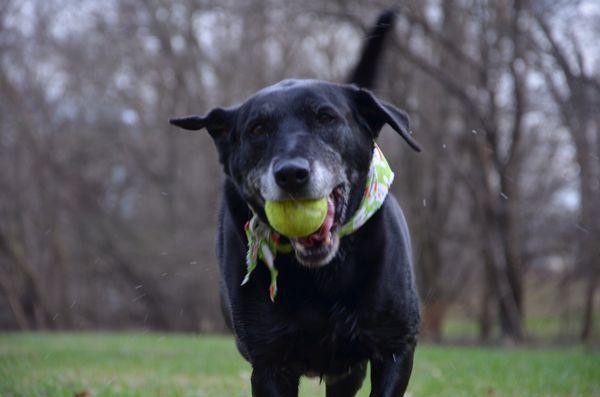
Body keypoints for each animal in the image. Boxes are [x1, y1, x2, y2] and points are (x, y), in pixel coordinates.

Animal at [171, 10, 420, 394]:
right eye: (257, 129)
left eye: (326, 117)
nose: (291, 174)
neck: (321, 274)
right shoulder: (270, 363)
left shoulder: (395, 348)